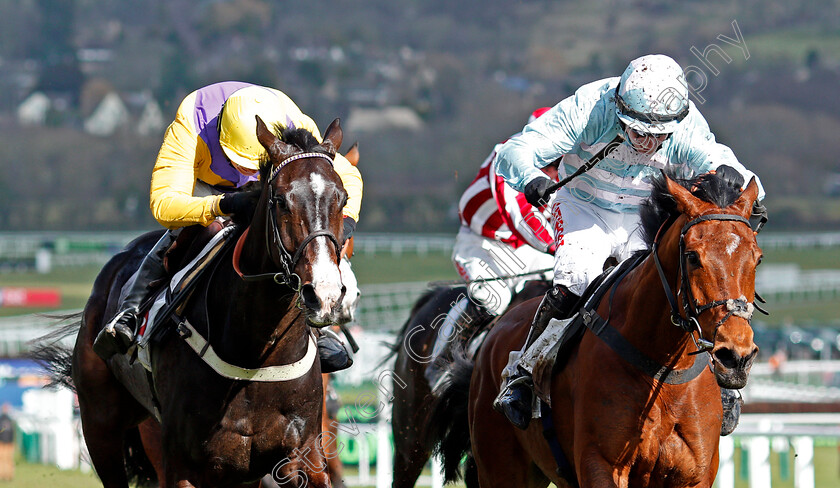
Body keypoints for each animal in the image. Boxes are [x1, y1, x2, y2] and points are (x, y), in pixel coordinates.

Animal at [53, 116, 352, 486]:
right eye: (281, 200)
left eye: (343, 199)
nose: (324, 294)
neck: (255, 357)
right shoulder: (182, 464)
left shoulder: (302, 451)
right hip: (101, 425)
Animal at [430, 172, 764, 488]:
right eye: (693, 256)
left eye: (757, 258)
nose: (736, 356)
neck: (662, 369)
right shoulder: (600, 464)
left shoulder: (694, 474)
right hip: (501, 468)